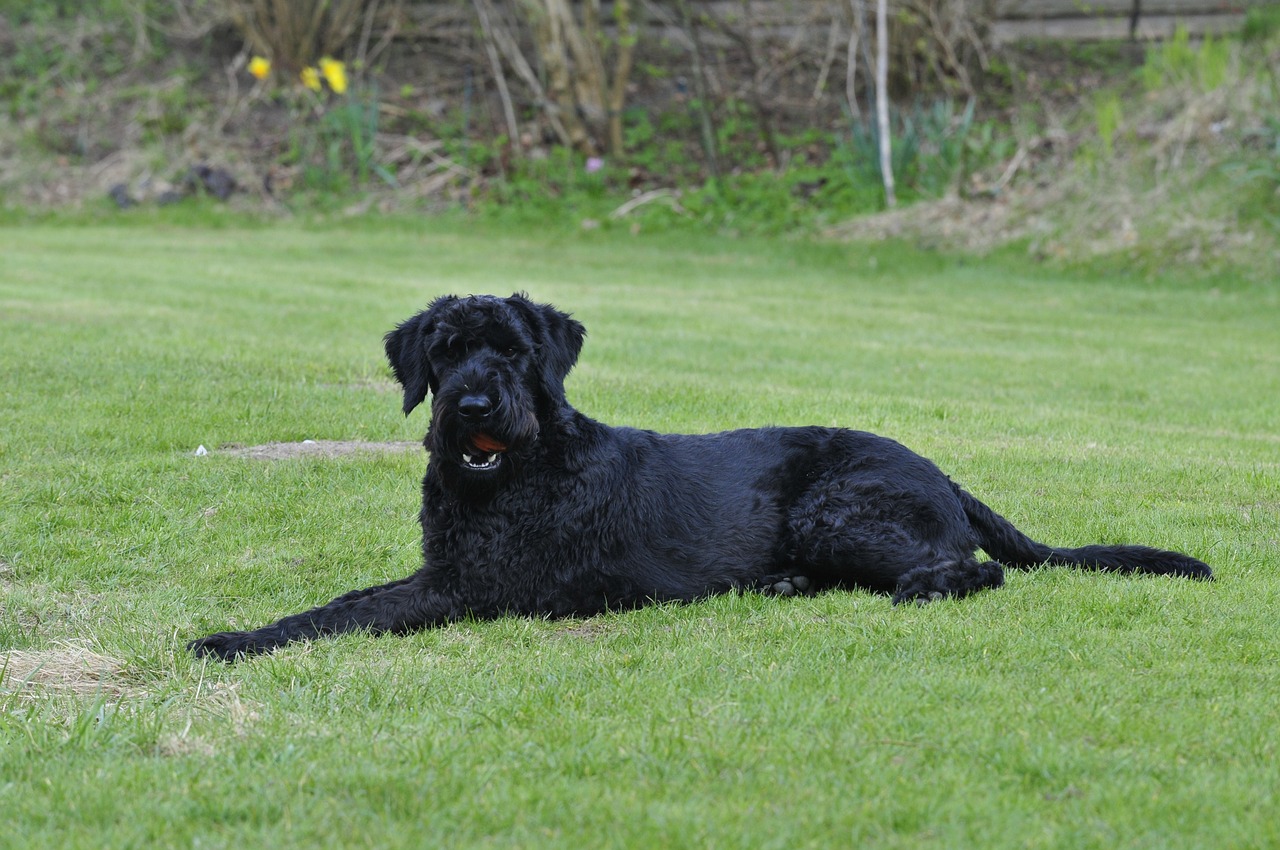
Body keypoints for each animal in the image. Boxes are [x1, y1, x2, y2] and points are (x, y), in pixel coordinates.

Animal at [186, 295, 1208, 660]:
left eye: (514, 349)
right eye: (444, 350)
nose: (474, 403)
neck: (517, 473)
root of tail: (944, 474)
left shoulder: (476, 588)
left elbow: (347, 611)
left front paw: (234, 639)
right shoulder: (450, 569)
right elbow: (349, 597)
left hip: (844, 512)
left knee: (974, 568)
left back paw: (919, 589)